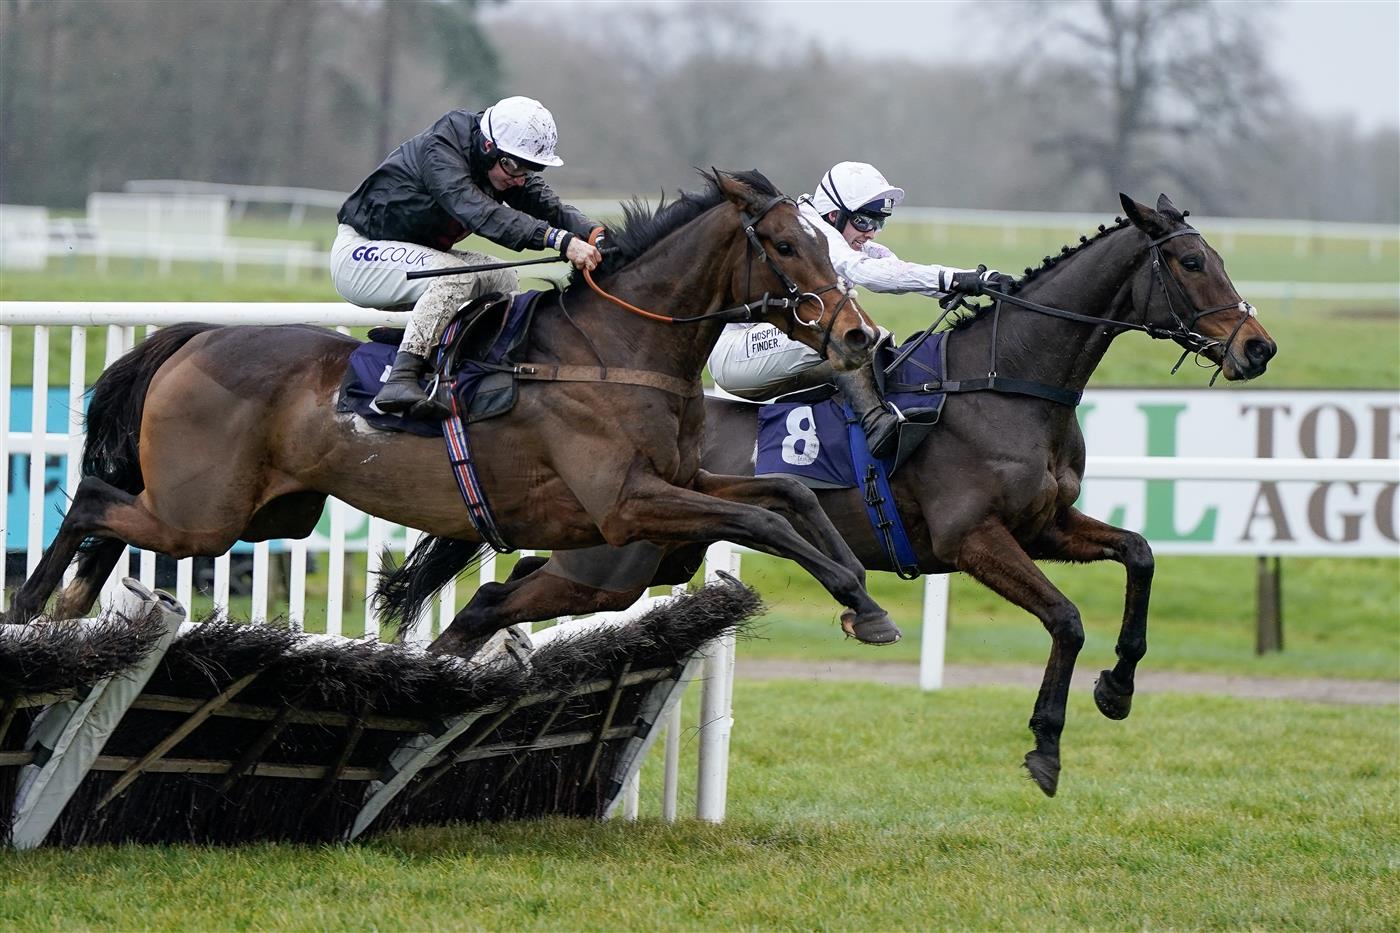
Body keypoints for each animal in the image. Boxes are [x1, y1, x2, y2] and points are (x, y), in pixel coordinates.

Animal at [2, 168, 896, 638]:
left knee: (112, 511)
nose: (861, 337)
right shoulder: (625, 504)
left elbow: (784, 494)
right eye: (786, 245)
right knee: (93, 496)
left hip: (265, 510)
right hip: (205, 514)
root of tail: (195, 337)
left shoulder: (681, 482)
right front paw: (861, 601)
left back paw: (70, 603)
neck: (617, 350)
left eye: (829, 241)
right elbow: (760, 519)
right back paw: (37, 600)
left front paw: (859, 591)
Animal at [386, 194, 1282, 790]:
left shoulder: (1046, 524)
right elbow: (1065, 618)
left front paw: (1120, 685)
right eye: (1193, 261)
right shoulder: (976, 539)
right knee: (496, 597)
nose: (1260, 347)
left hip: (640, 558)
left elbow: (1141, 554)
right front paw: (1046, 744)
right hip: (615, 559)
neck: (1007, 383)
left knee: (493, 595)